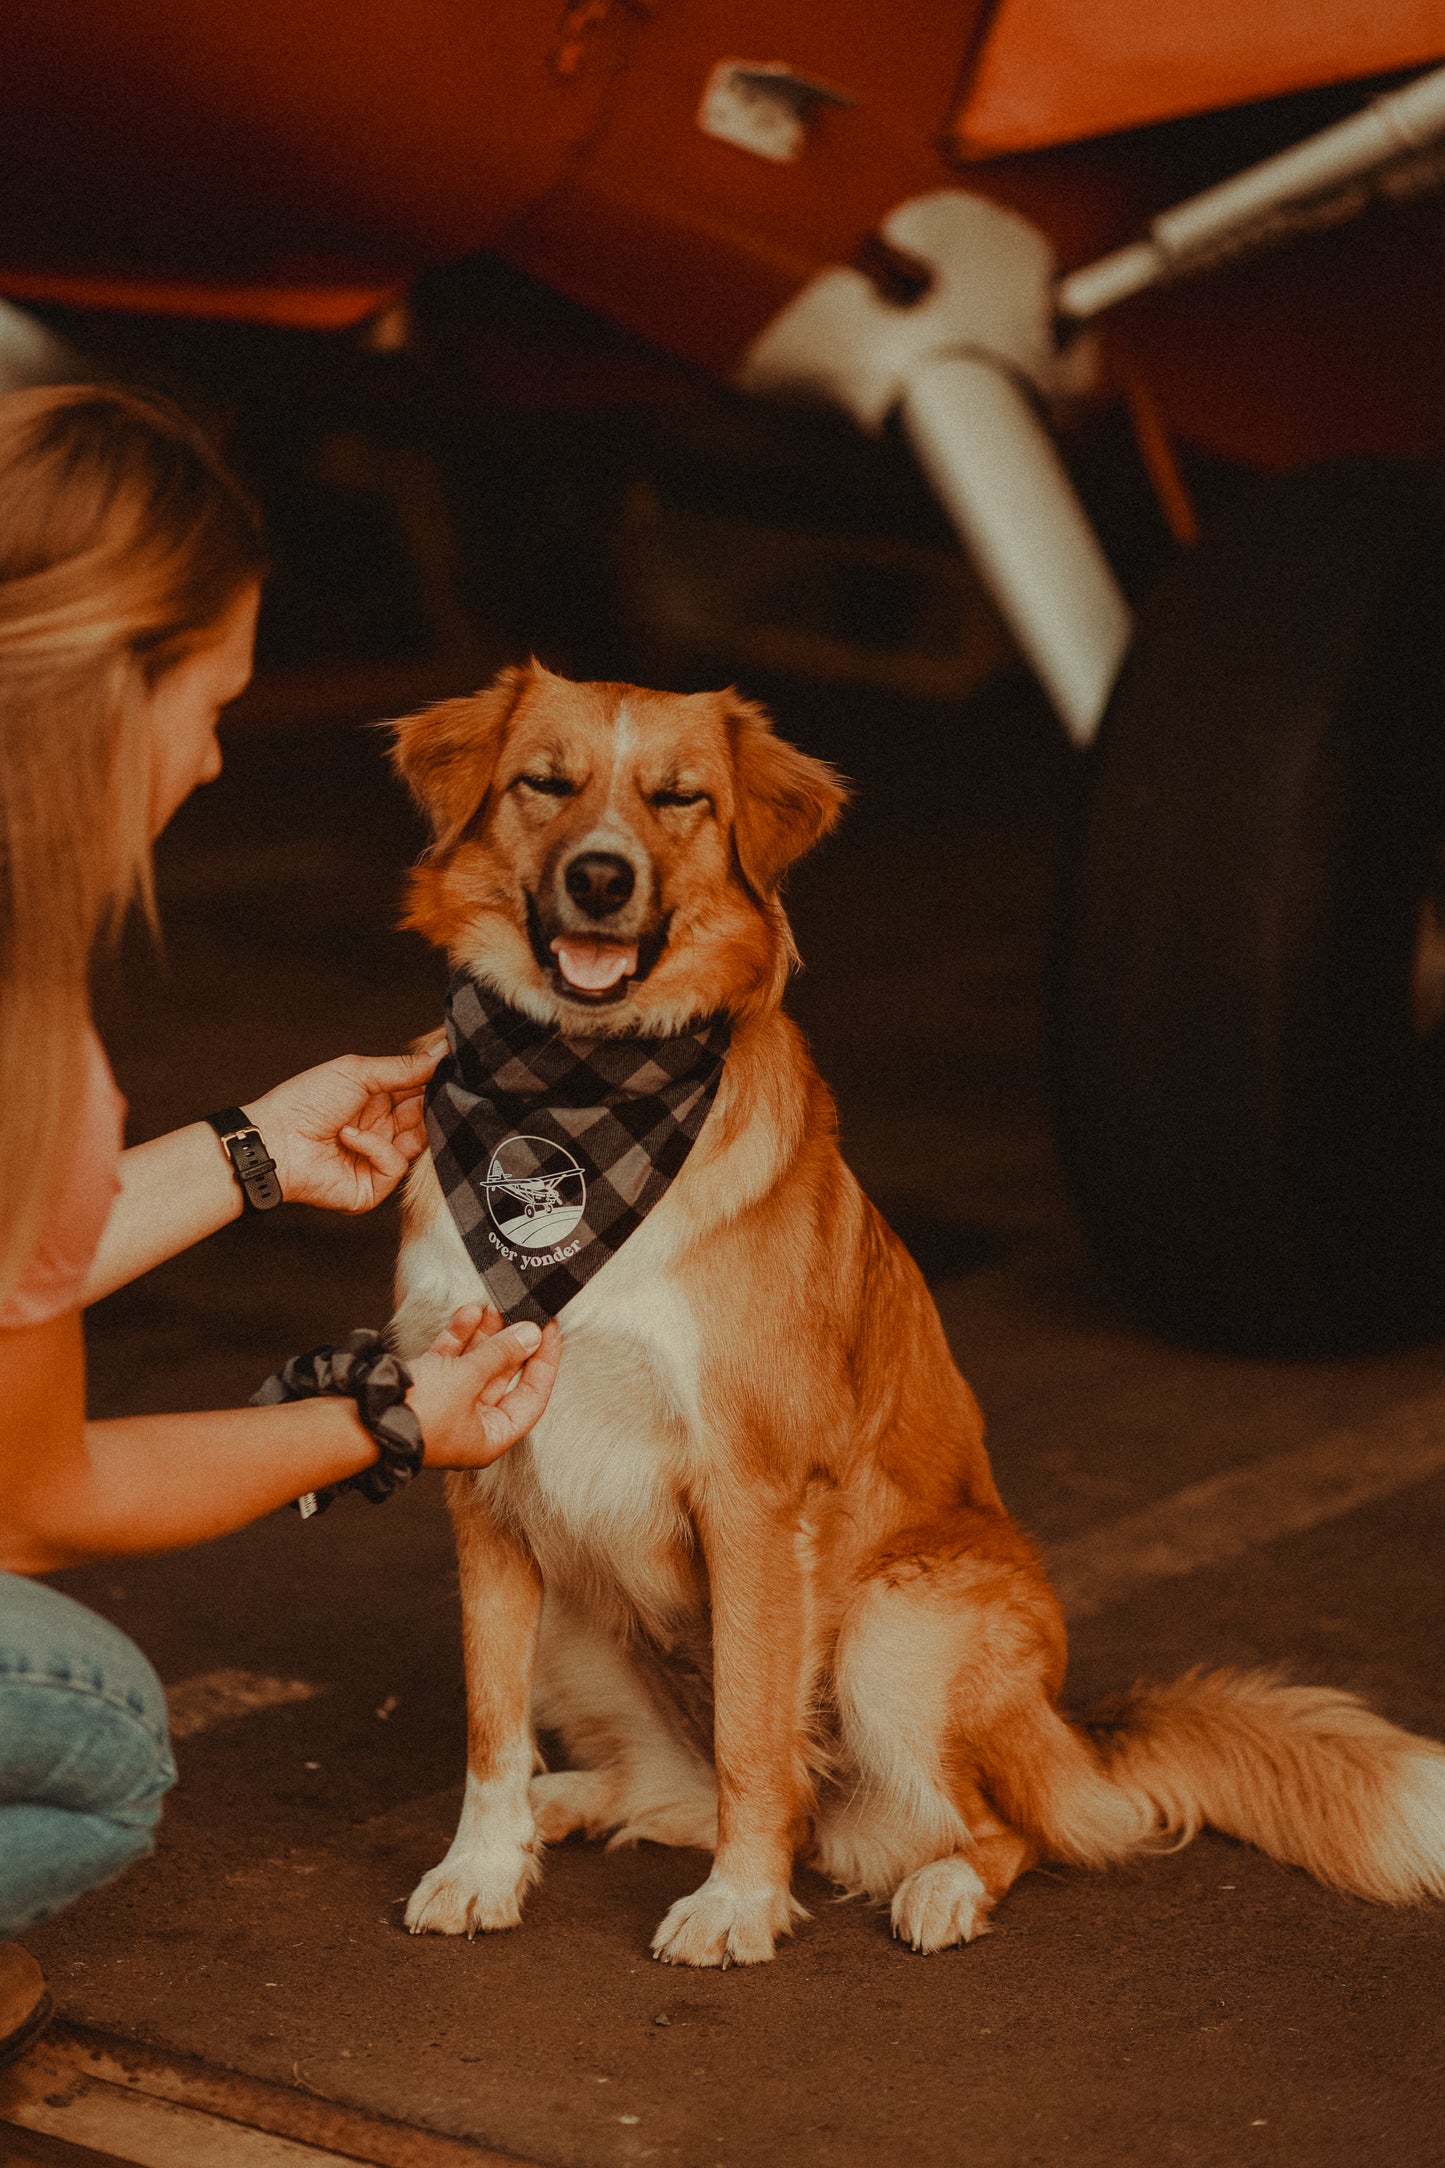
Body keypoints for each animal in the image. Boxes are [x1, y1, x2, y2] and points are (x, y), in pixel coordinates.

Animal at [383, 667, 1445, 1977]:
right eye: (546, 781)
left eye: (679, 799)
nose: (599, 877)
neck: (576, 1098)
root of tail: (1071, 1729)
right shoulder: (484, 1479)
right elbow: (489, 1724)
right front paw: (483, 1865)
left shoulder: (750, 1490)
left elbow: (752, 1738)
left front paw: (738, 1904)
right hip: (581, 1607)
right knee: (687, 1786)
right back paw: (567, 1802)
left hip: (896, 1623)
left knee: (988, 1826)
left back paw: (935, 1885)